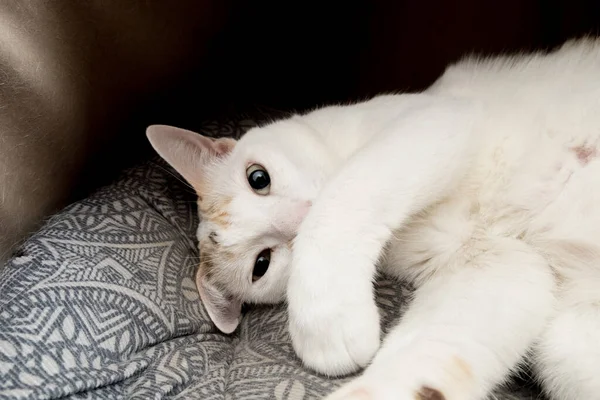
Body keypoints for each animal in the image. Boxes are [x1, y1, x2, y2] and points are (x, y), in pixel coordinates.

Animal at [145, 38, 600, 400]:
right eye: (262, 264)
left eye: (258, 178)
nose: (300, 218)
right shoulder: (492, 261)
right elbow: (432, 353)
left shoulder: (436, 120)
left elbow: (346, 193)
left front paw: (324, 320)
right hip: (564, 345)